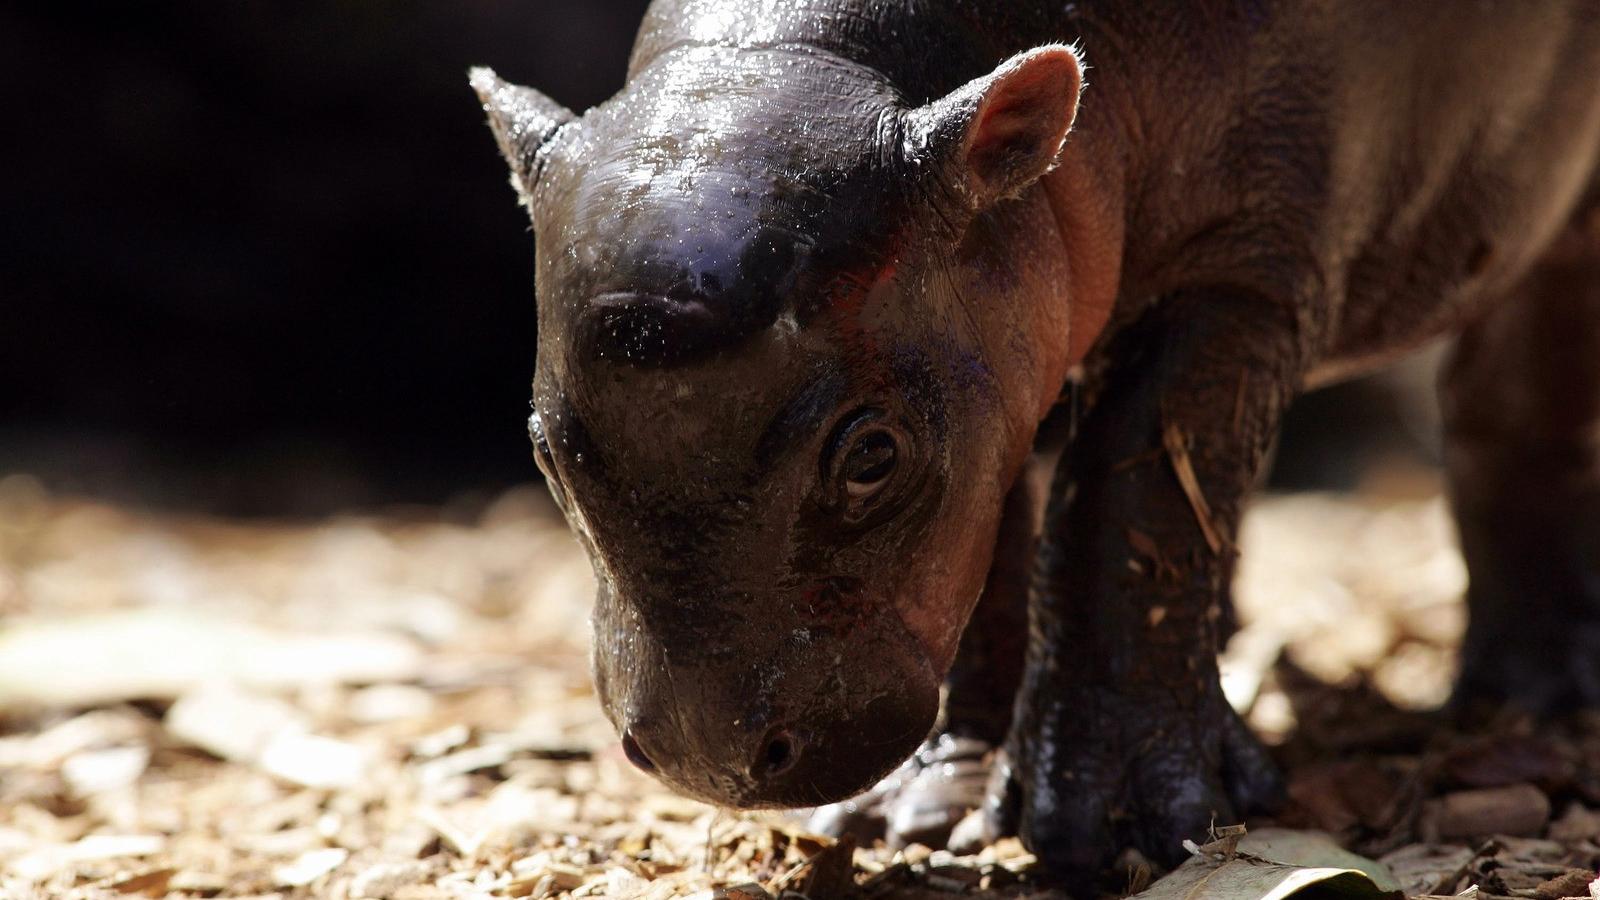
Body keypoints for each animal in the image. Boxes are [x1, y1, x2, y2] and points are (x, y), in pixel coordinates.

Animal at [476, 0, 1600, 877]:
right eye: (542, 453)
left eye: (870, 454)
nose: (703, 757)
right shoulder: (978, 353)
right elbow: (994, 547)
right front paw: (922, 812)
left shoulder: (1237, 271)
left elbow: (1128, 499)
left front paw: (1122, 829)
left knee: (1519, 393)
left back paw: (1530, 699)